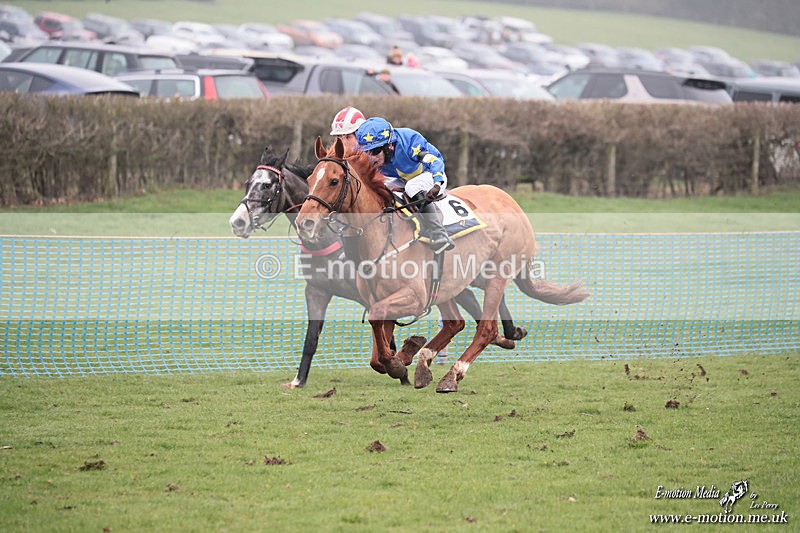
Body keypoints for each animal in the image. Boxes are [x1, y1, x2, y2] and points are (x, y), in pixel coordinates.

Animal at [229, 145, 527, 389]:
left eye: (268, 186)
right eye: (248, 183)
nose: (238, 222)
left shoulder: (395, 295)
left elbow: (383, 331)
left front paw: (399, 364)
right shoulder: (318, 291)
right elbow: (314, 338)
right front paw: (298, 380)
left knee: (477, 314)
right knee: (460, 319)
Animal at [296, 137, 589, 392]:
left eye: (333, 180)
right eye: (309, 179)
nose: (304, 223)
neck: (383, 235)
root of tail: (512, 203)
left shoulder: (414, 295)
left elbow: (379, 324)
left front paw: (398, 362)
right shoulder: (380, 296)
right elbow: (376, 352)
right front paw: (401, 357)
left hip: (495, 275)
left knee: (485, 329)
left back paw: (452, 375)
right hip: (453, 281)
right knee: (455, 323)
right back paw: (426, 360)